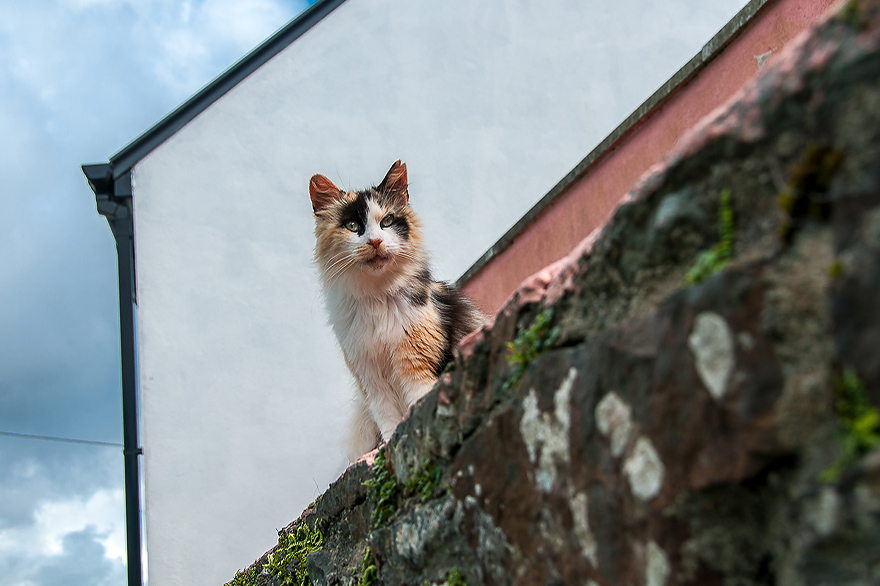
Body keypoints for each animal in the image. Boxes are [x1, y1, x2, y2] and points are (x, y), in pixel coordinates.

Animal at [310, 161, 484, 460]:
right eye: (352, 226)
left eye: (387, 222)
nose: (375, 242)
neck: (376, 297)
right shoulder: (369, 376)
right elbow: (387, 417)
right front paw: (389, 445)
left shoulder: (416, 361)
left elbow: (418, 399)